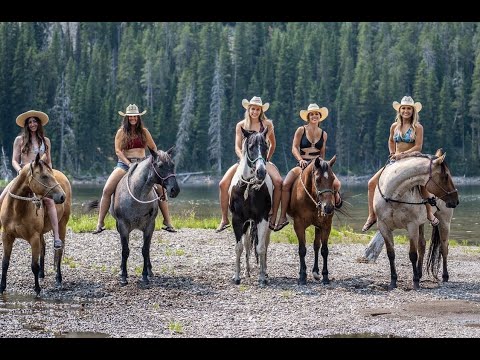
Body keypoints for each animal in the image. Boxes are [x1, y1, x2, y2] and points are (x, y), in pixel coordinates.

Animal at [0, 153, 71, 296]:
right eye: (44, 176)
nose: (62, 196)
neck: (17, 209)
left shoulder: (33, 238)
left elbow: (34, 265)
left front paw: (37, 289)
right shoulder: (7, 236)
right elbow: (5, 263)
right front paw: (2, 287)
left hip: (62, 225)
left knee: (59, 252)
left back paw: (58, 279)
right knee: (43, 248)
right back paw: (41, 275)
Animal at [112, 148, 180, 286]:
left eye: (172, 165)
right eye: (160, 166)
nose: (174, 190)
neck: (138, 195)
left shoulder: (149, 226)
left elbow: (145, 250)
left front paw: (144, 276)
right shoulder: (123, 226)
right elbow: (125, 250)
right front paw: (123, 276)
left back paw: (149, 271)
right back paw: (122, 270)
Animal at [230, 128, 272, 286]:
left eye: (266, 146)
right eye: (251, 147)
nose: (261, 172)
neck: (248, 187)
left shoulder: (262, 219)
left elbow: (260, 248)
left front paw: (262, 277)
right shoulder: (237, 220)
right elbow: (239, 248)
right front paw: (237, 277)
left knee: (264, 245)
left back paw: (264, 271)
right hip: (247, 223)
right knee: (247, 244)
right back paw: (246, 271)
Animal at [286, 156, 340, 286]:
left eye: (333, 179)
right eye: (317, 179)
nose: (328, 207)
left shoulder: (325, 226)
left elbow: (324, 250)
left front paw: (325, 276)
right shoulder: (299, 225)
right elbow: (302, 250)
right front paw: (302, 276)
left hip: (318, 226)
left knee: (316, 246)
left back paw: (316, 272)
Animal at [374, 148, 460, 290]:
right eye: (446, 176)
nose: (456, 200)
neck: (393, 196)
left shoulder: (412, 226)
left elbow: (413, 254)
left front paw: (415, 282)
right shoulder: (383, 227)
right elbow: (391, 254)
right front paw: (393, 281)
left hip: (444, 221)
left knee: (444, 247)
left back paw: (444, 276)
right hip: (422, 223)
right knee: (422, 245)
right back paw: (419, 274)